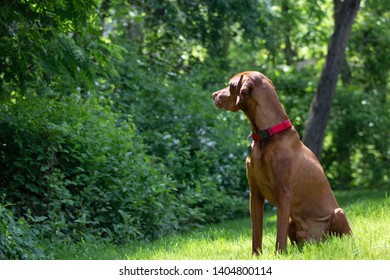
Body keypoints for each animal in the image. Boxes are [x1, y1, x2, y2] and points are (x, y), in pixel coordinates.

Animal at [212, 71, 352, 254]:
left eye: (230, 85)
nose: (213, 95)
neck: (266, 136)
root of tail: (316, 242)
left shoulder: (283, 193)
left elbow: (279, 233)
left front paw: (279, 255)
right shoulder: (255, 194)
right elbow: (256, 233)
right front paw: (256, 256)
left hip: (338, 213)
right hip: (295, 223)